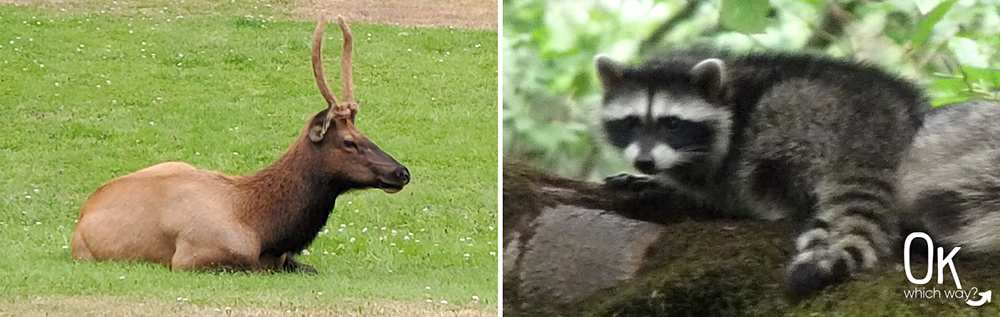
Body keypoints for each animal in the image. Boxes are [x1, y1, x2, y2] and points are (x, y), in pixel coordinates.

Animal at [72, 14, 410, 272]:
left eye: (366, 134)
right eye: (350, 142)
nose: (402, 172)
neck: (264, 230)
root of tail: (82, 213)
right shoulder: (190, 259)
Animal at [592, 50, 928, 296]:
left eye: (672, 124)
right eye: (631, 123)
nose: (645, 163)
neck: (727, 91)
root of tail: (877, 123)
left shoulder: (729, 154)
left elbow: (719, 188)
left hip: (809, 113)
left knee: (777, 112)